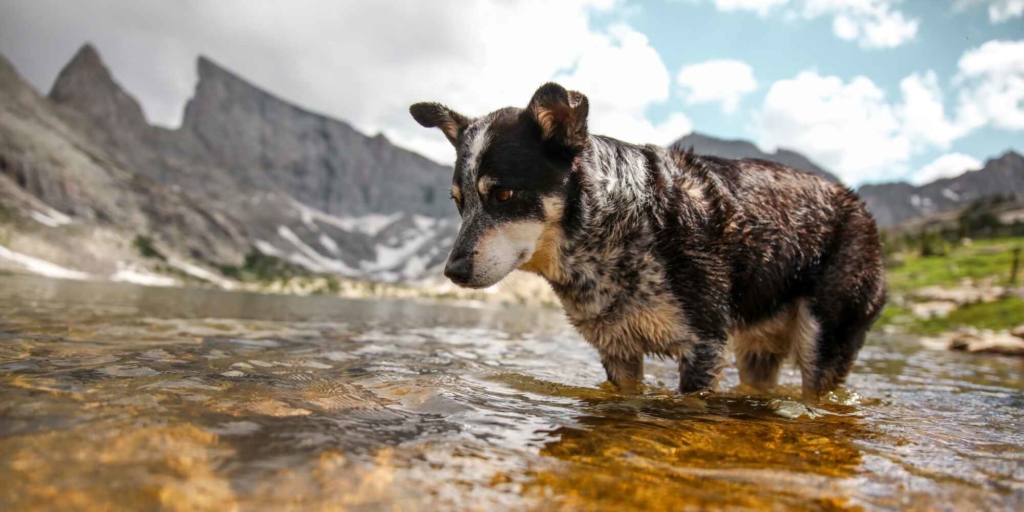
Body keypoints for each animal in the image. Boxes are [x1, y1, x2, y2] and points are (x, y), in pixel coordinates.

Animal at [411, 81, 884, 399]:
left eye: (504, 195)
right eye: (459, 203)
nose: (453, 270)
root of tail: (859, 206)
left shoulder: (704, 347)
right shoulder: (617, 351)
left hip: (823, 340)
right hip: (757, 351)